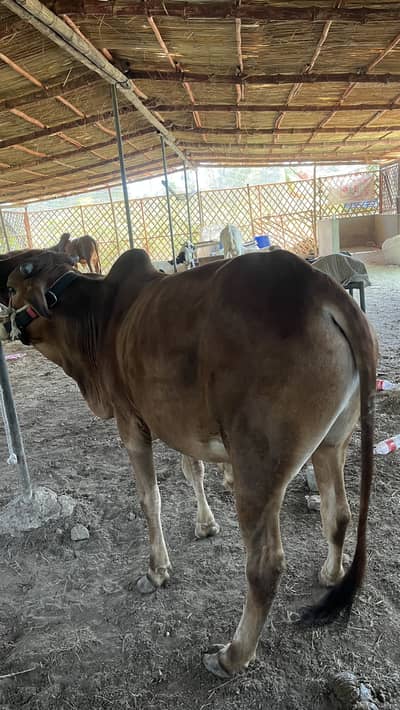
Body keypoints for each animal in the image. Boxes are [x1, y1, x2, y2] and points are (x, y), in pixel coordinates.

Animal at [0, 247, 377, 679]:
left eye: (10, 288)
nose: (5, 327)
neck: (101, 317)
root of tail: (322, 287)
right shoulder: (177, 420)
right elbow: (191, 469)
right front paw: (205, 525)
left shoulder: (132, 422)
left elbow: (150, 499)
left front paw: (157, 570)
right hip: (332, 443)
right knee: (338, 514)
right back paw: (330, 574)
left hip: (258, 466)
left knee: (265, 564)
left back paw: (232, 655)